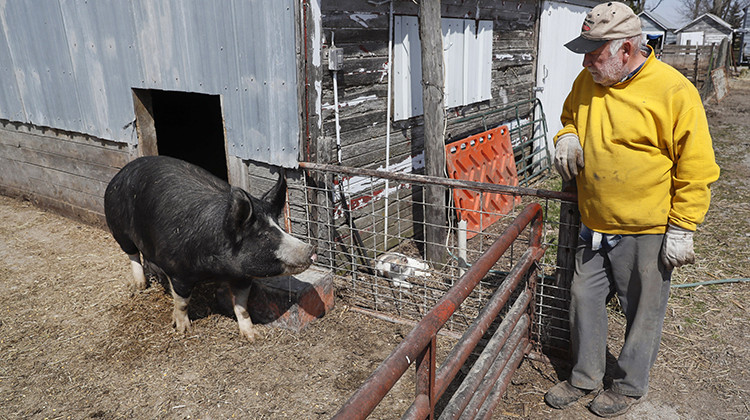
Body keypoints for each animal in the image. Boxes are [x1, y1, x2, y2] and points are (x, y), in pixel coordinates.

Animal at [104, 156, 316, 340]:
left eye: (280, 227)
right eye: (263, 236)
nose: (311, 249)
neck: (216, 269)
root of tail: (122, 171)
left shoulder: (242, 276)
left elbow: (242, 306)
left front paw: (253, 336)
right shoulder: (178, 271)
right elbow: (182, 302)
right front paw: (183, 330)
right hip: (118, 228)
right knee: (132, 254)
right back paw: (140, 285)